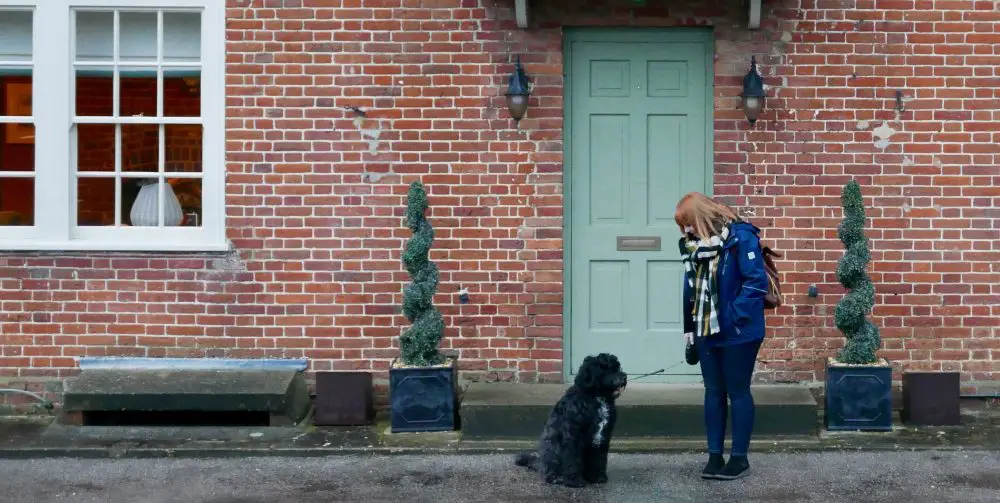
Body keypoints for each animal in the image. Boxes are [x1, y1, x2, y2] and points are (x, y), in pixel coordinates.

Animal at [516, 354, 624, 488]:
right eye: (605, 368)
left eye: (617, 367)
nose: (624, 377)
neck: (595, 397)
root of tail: (540, 463)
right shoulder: (573, 436)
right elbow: (573, 459)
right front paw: (574, 481)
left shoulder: (603, 436)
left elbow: (599, 458)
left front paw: (597, 477)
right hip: (551, 451)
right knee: (550, 470)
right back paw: (556, 478)